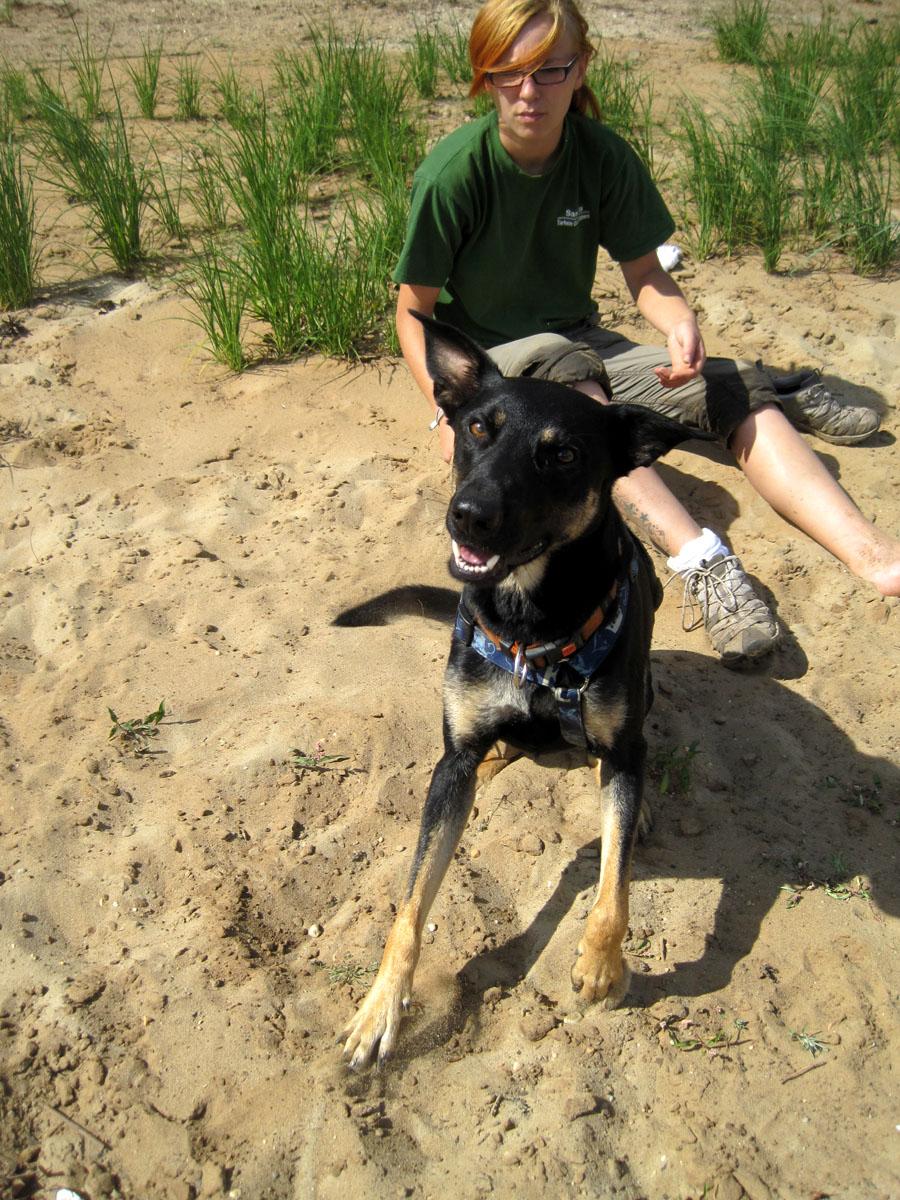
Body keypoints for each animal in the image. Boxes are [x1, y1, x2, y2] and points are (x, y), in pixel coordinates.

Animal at [341, 314, 698, 1069]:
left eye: (561, 454)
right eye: (478, 427)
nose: (467, 515)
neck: (527, 620)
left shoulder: (619, 742)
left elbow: (614, 883)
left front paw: (602, 966)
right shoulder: (452, 763)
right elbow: (410, 907)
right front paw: (380, 1008)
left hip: (640, 698)